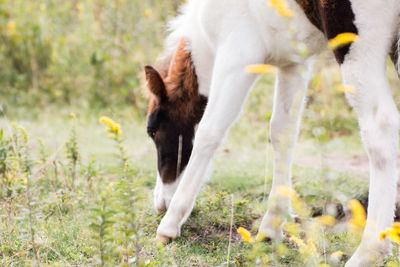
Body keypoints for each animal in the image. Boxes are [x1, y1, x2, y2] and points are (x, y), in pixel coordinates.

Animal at [145, 0, 400, 266]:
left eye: (152, 130)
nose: (161, 203)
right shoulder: (293, 63)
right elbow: (282, 132)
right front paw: (271, 227)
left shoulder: (237, 56)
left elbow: (209, 132)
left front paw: (170, 224)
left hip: (358, 46)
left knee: (380, 129)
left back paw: (369, 251)